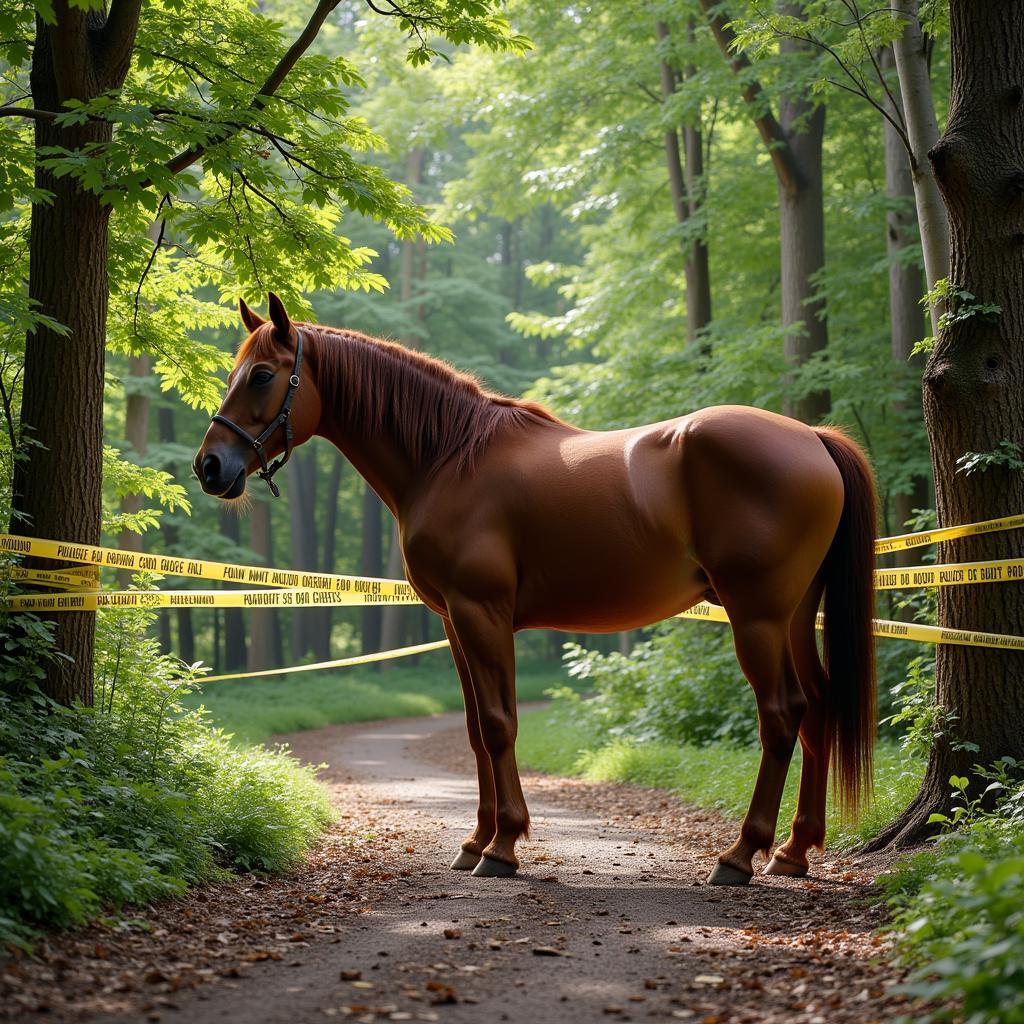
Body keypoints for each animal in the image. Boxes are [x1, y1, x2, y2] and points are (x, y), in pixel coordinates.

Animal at [195, 294, 876, 888]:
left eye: (261, 375)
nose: (210, 467)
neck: (449, 457)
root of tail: (813, 438)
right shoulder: (453, 621)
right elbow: (475, 729)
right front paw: (475, 842)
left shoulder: (482, 613)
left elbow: (499, 724)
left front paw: (503, 847)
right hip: (794, 615)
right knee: (818, 707)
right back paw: (793, 852)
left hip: (756, 616)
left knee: (782, 713)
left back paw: (740, 855)